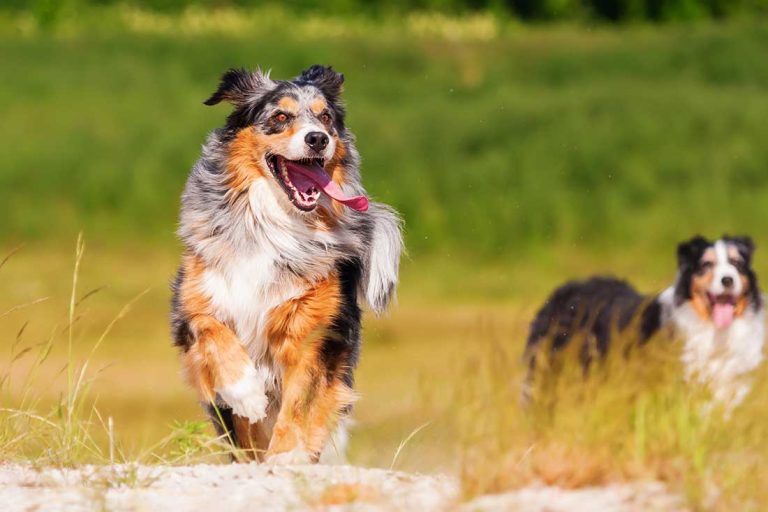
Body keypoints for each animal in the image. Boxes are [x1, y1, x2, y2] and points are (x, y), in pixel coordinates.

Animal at [172, 65, 404, 464]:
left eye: (325, 118)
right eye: (280, 117)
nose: (318, 139)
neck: (271, 225)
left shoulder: (316, 331)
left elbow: (301, 402)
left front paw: (286, 457)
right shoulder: (195, 302)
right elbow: (213, 333)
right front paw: (246, 392)